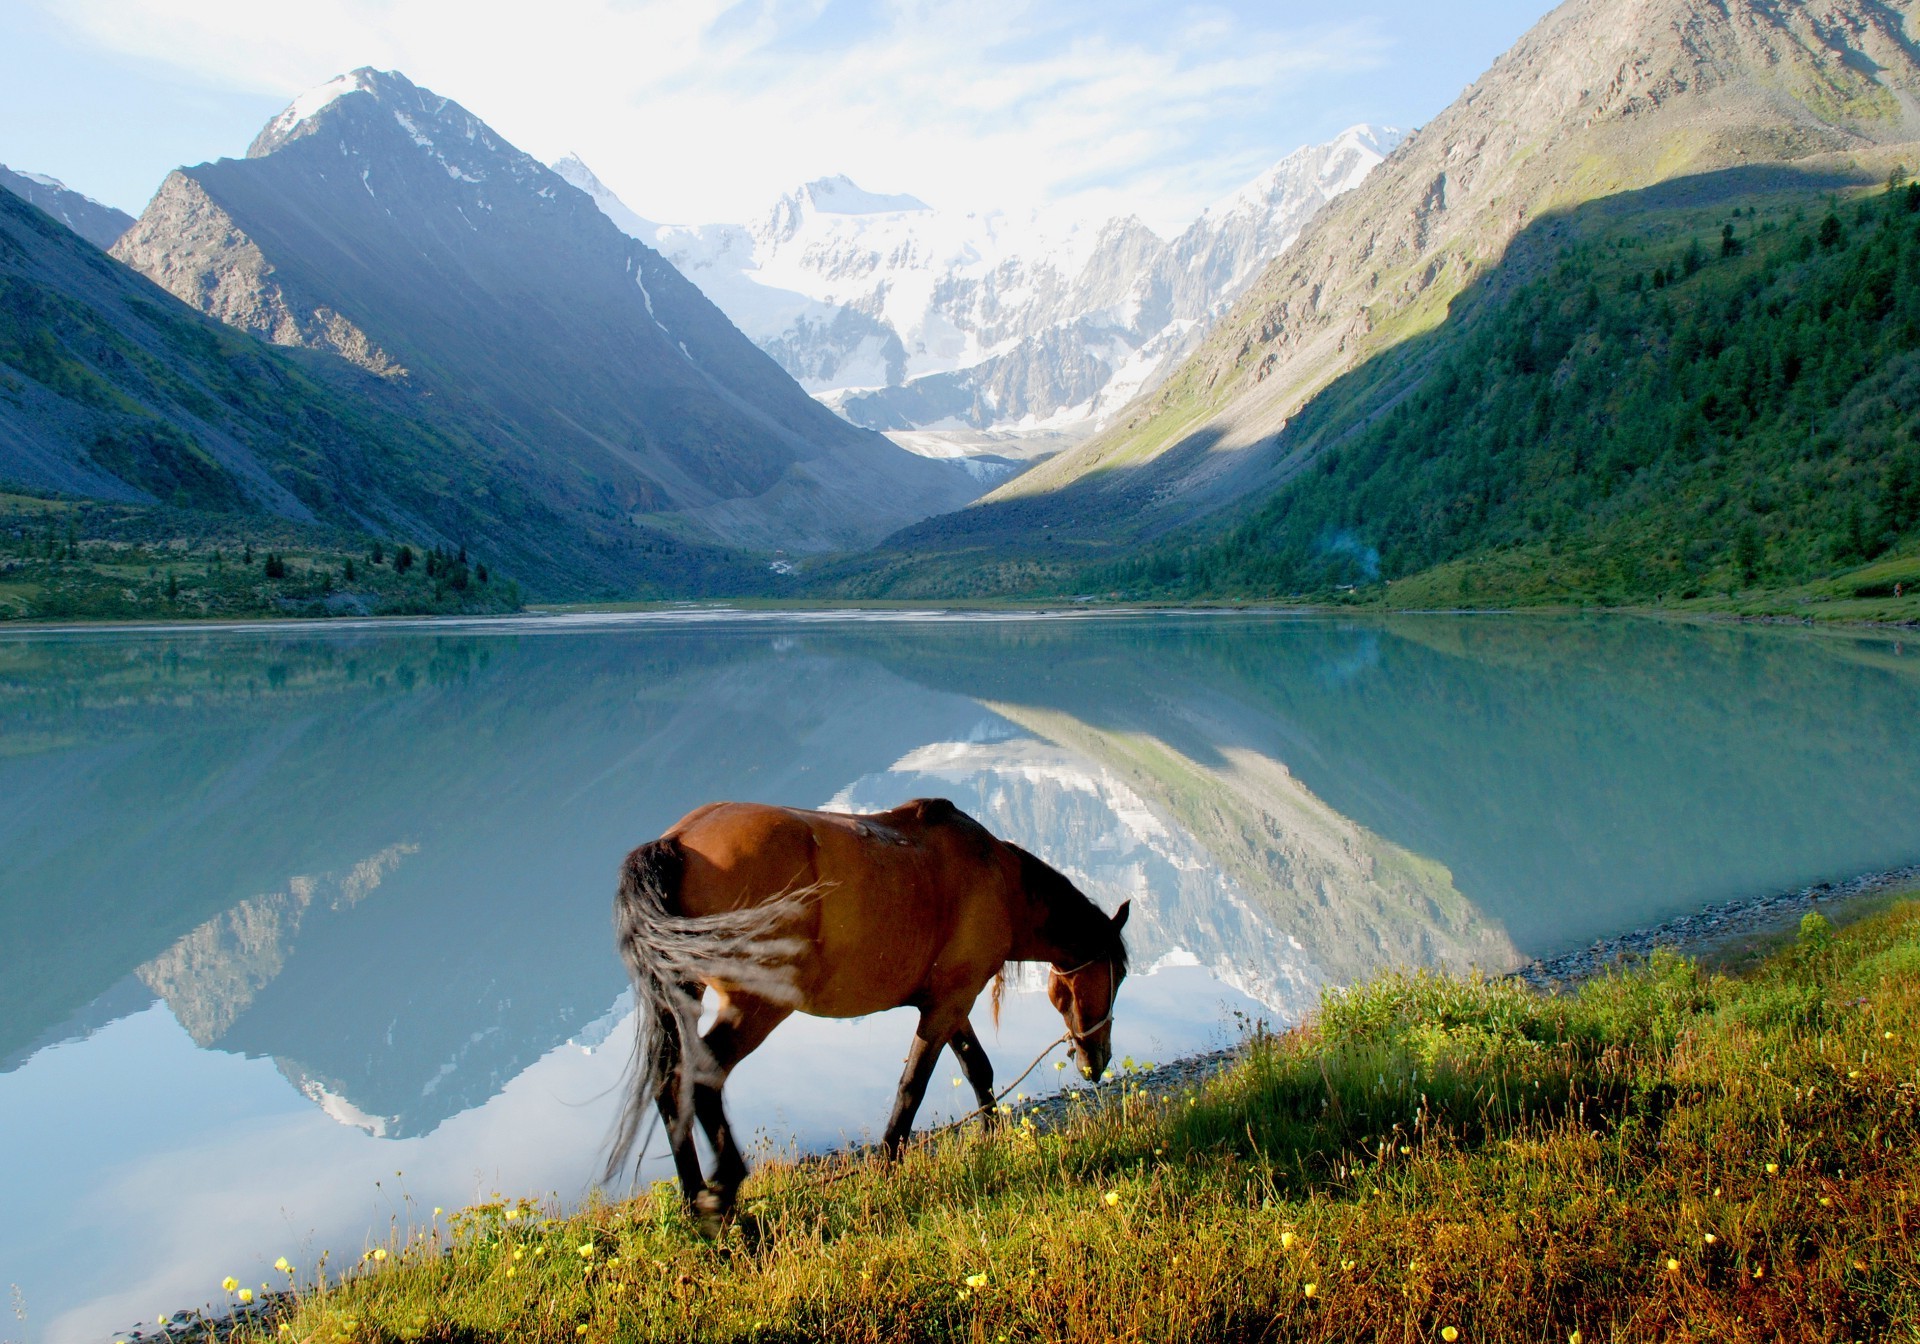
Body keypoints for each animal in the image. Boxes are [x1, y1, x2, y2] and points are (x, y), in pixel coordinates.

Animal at [602, 798, 1121, 1221]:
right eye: (1116, 976)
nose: (1097, 1062)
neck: (997, 879)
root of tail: (675, 842)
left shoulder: (949, 1002)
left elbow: (978, 1069)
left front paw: (992, 1140)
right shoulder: (949, 1003)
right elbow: (914, 1085)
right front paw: (888, 1164)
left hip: (685, 995)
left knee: (670, 1084)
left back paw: (695, 1201)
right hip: (758, 1006)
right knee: (702, 1078)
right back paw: (724, 1198)